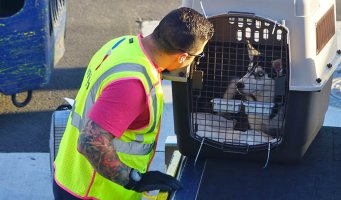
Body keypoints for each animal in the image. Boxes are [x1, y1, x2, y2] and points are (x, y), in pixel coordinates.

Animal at [189, 14, 286, 148]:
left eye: (260, 74)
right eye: (248, 69)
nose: (240, 84)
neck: (261, 102)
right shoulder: (254, 127)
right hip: (230, 86)